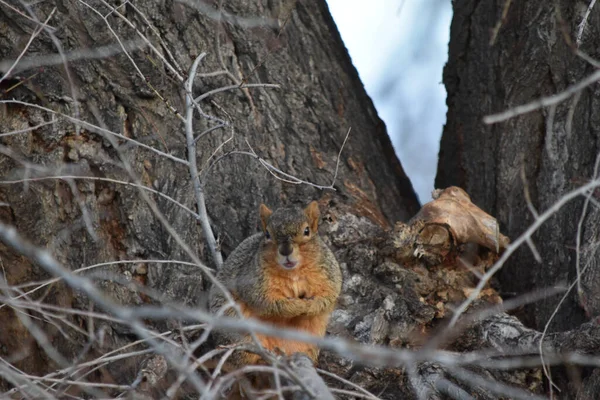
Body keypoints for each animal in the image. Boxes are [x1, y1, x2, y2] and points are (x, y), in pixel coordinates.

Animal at [210, 200, 342, 368]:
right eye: (267, 234)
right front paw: (298, 306)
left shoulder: (328, 275)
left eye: (307, 231)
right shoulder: (252, 282)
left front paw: (311, 305)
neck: (293, 272)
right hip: (237, 328)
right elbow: (267, 303)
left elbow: (328, 296)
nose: (286, 250)